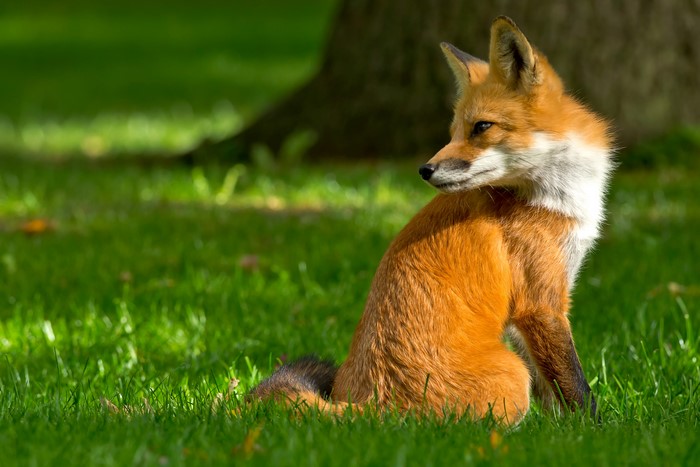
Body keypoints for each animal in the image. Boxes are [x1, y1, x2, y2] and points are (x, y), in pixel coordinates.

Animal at [248, 16, 613, 425]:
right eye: (453, 132)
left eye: (481, 127)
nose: (424, 170)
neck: (553, 194)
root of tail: (373, 406)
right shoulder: (541, 303)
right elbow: (573, 383)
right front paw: (597, 428)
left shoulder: (531, 308)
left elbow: (551, 387)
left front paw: (560, 426)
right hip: (511, 374)